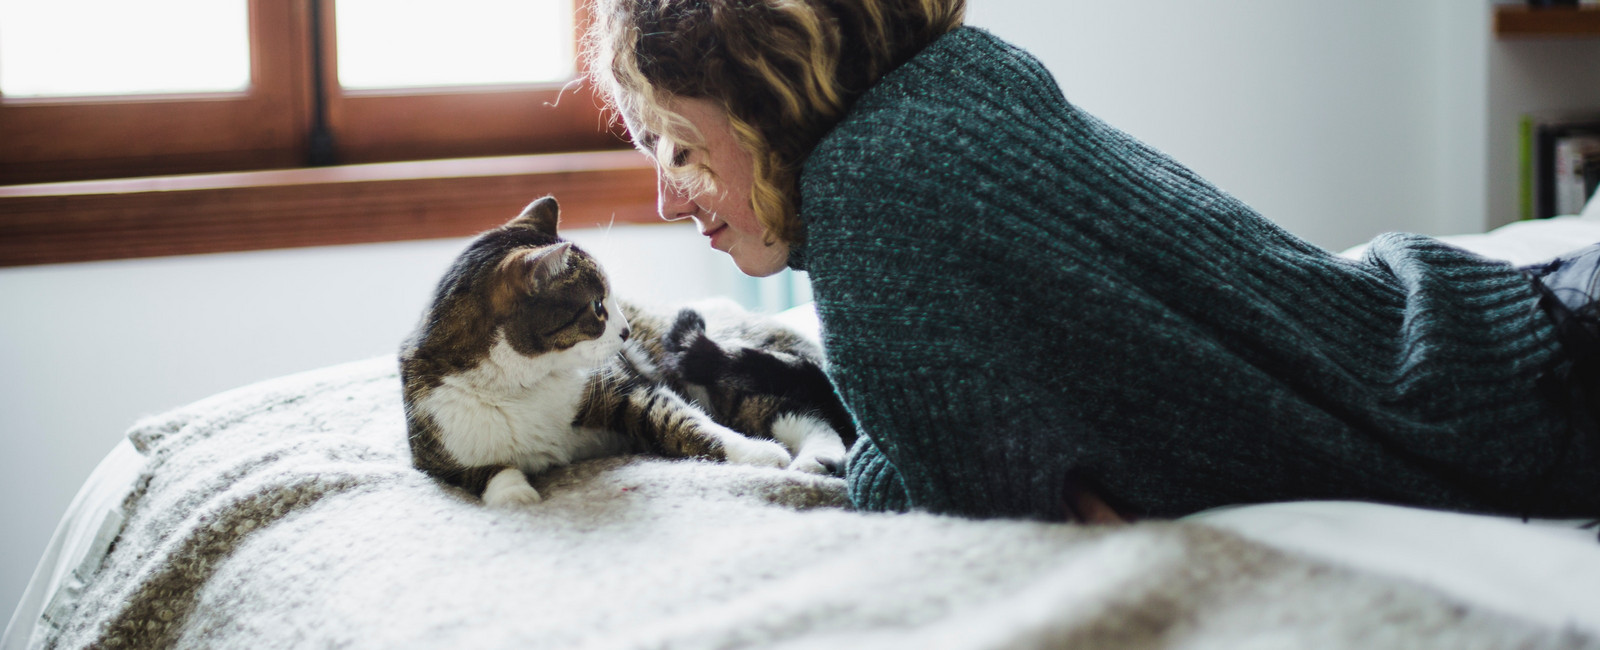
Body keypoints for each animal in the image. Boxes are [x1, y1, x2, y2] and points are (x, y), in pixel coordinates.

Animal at [400, 195, 857, 505]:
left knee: (796, 413)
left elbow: (684, 421)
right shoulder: (434, 449)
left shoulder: (622, 388)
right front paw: (516, 495)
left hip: (717, 370)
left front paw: (757, 453)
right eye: (597, 307)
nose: (626, 331)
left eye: (611, 300)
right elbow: (485, 474)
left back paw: (815, 458)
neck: (522, 385)